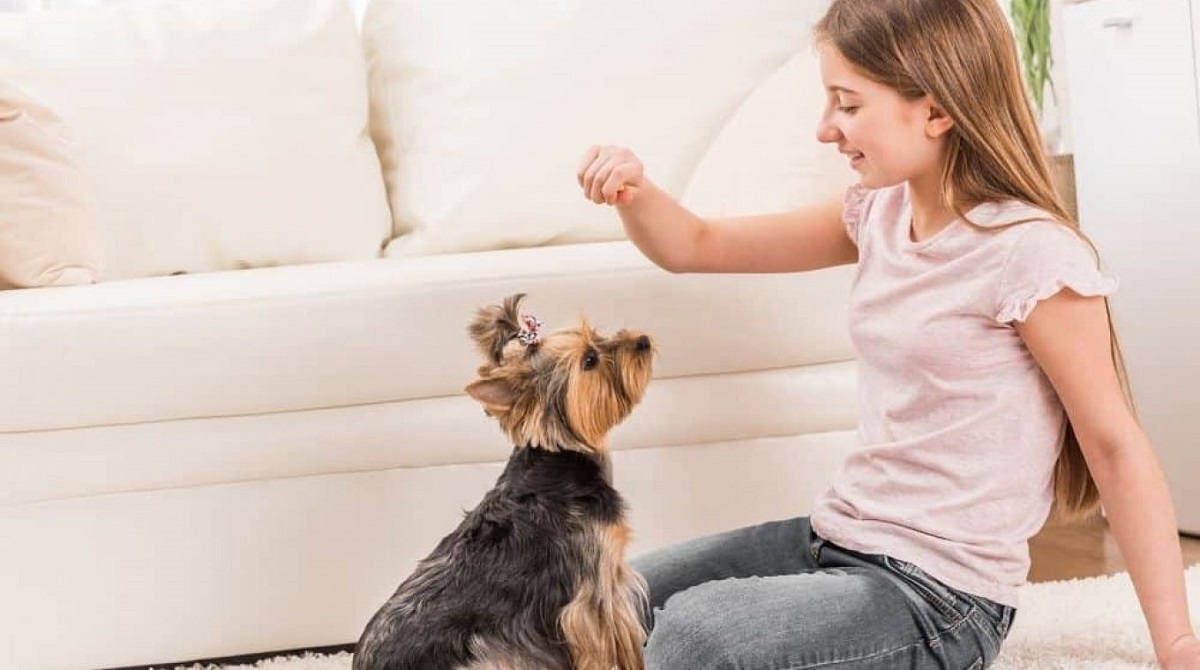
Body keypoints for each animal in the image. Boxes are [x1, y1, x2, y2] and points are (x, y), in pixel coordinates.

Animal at [352, 294, 657, 670]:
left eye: (598, 335)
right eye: (590, 360)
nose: (642, 340)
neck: (562, 459)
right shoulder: (594, 594)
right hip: (487, 656)